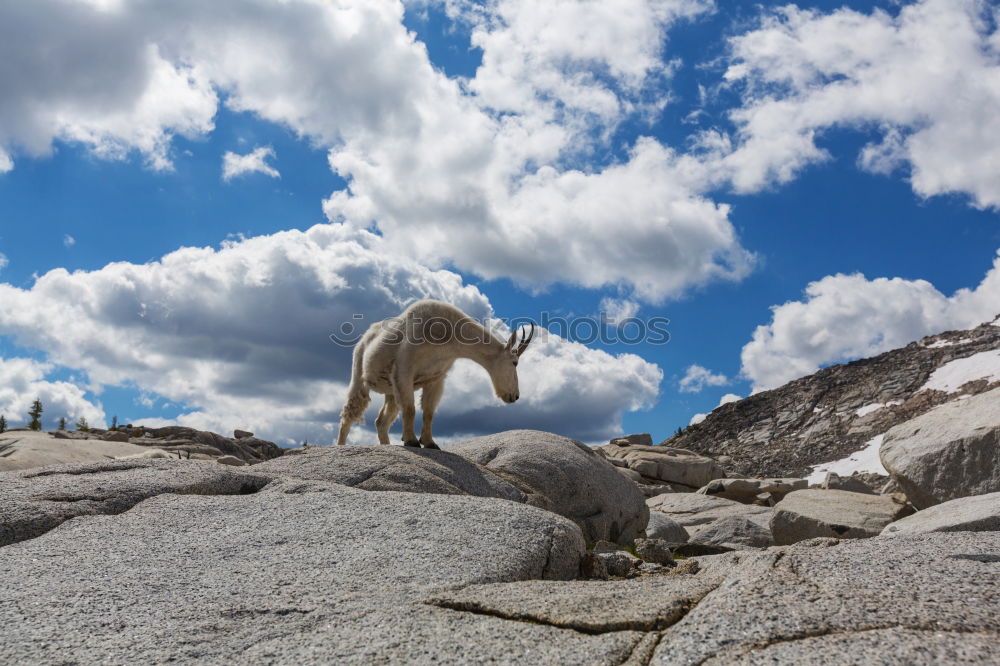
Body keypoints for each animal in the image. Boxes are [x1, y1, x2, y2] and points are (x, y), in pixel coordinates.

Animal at [336, 300, 536, 446]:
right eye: (515, 362)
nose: (514, 396)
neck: (448, 334)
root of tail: (363, 339)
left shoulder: (436, 377)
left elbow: (429, 412)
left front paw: (429, 443)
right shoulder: (405, 370)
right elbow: (410, 409)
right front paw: (411, 441)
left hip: (390, 392)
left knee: (381, 421)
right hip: (358, 377)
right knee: (349, 414)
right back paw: (340, 445)